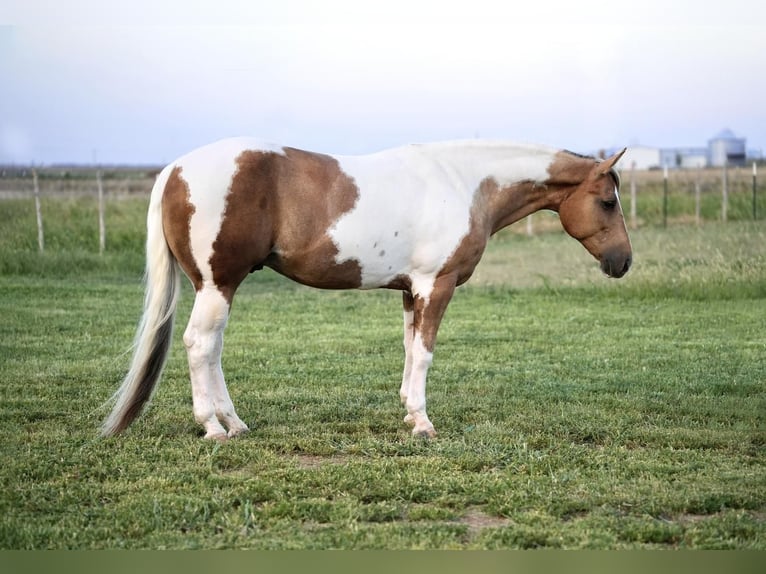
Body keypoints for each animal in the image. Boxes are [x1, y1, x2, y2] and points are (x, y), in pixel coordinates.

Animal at [100, 138, 632, 440]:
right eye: (608, 202)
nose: (622, 262)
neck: (464, 184)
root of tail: (173, 170)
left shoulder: (411, 291)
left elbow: (409, 350)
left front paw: (408, 414)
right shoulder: (436, 286)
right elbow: (425, 354)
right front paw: (423, 423)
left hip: (214, 288)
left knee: (211, 351)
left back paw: (234, 423)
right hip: (218, 285)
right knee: (200, 346)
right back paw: (213, 428)